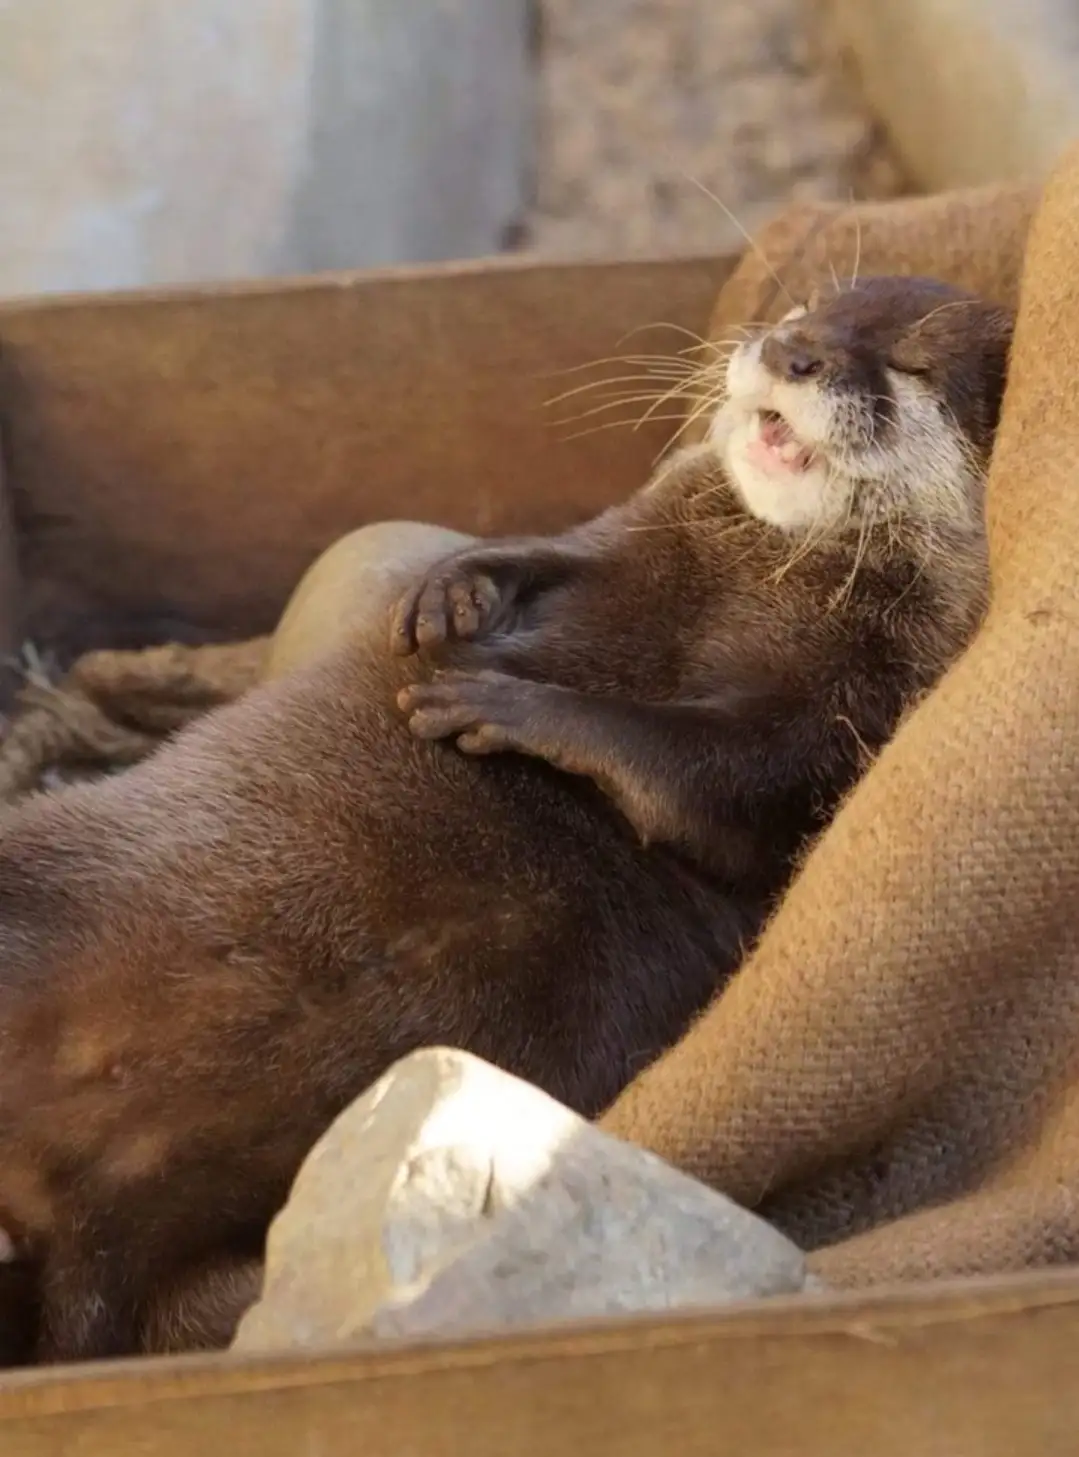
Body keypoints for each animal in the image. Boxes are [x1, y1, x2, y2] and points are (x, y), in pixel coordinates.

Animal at [0, 277, 1011, 1364]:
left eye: (910, 360)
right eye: (808, 308)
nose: (791, 353)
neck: (765, 577)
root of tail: (90, 1215)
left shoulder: (840, 727)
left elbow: (708, 787)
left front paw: (511, 704)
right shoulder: (632, 534)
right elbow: (547, 552)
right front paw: (449, 590)